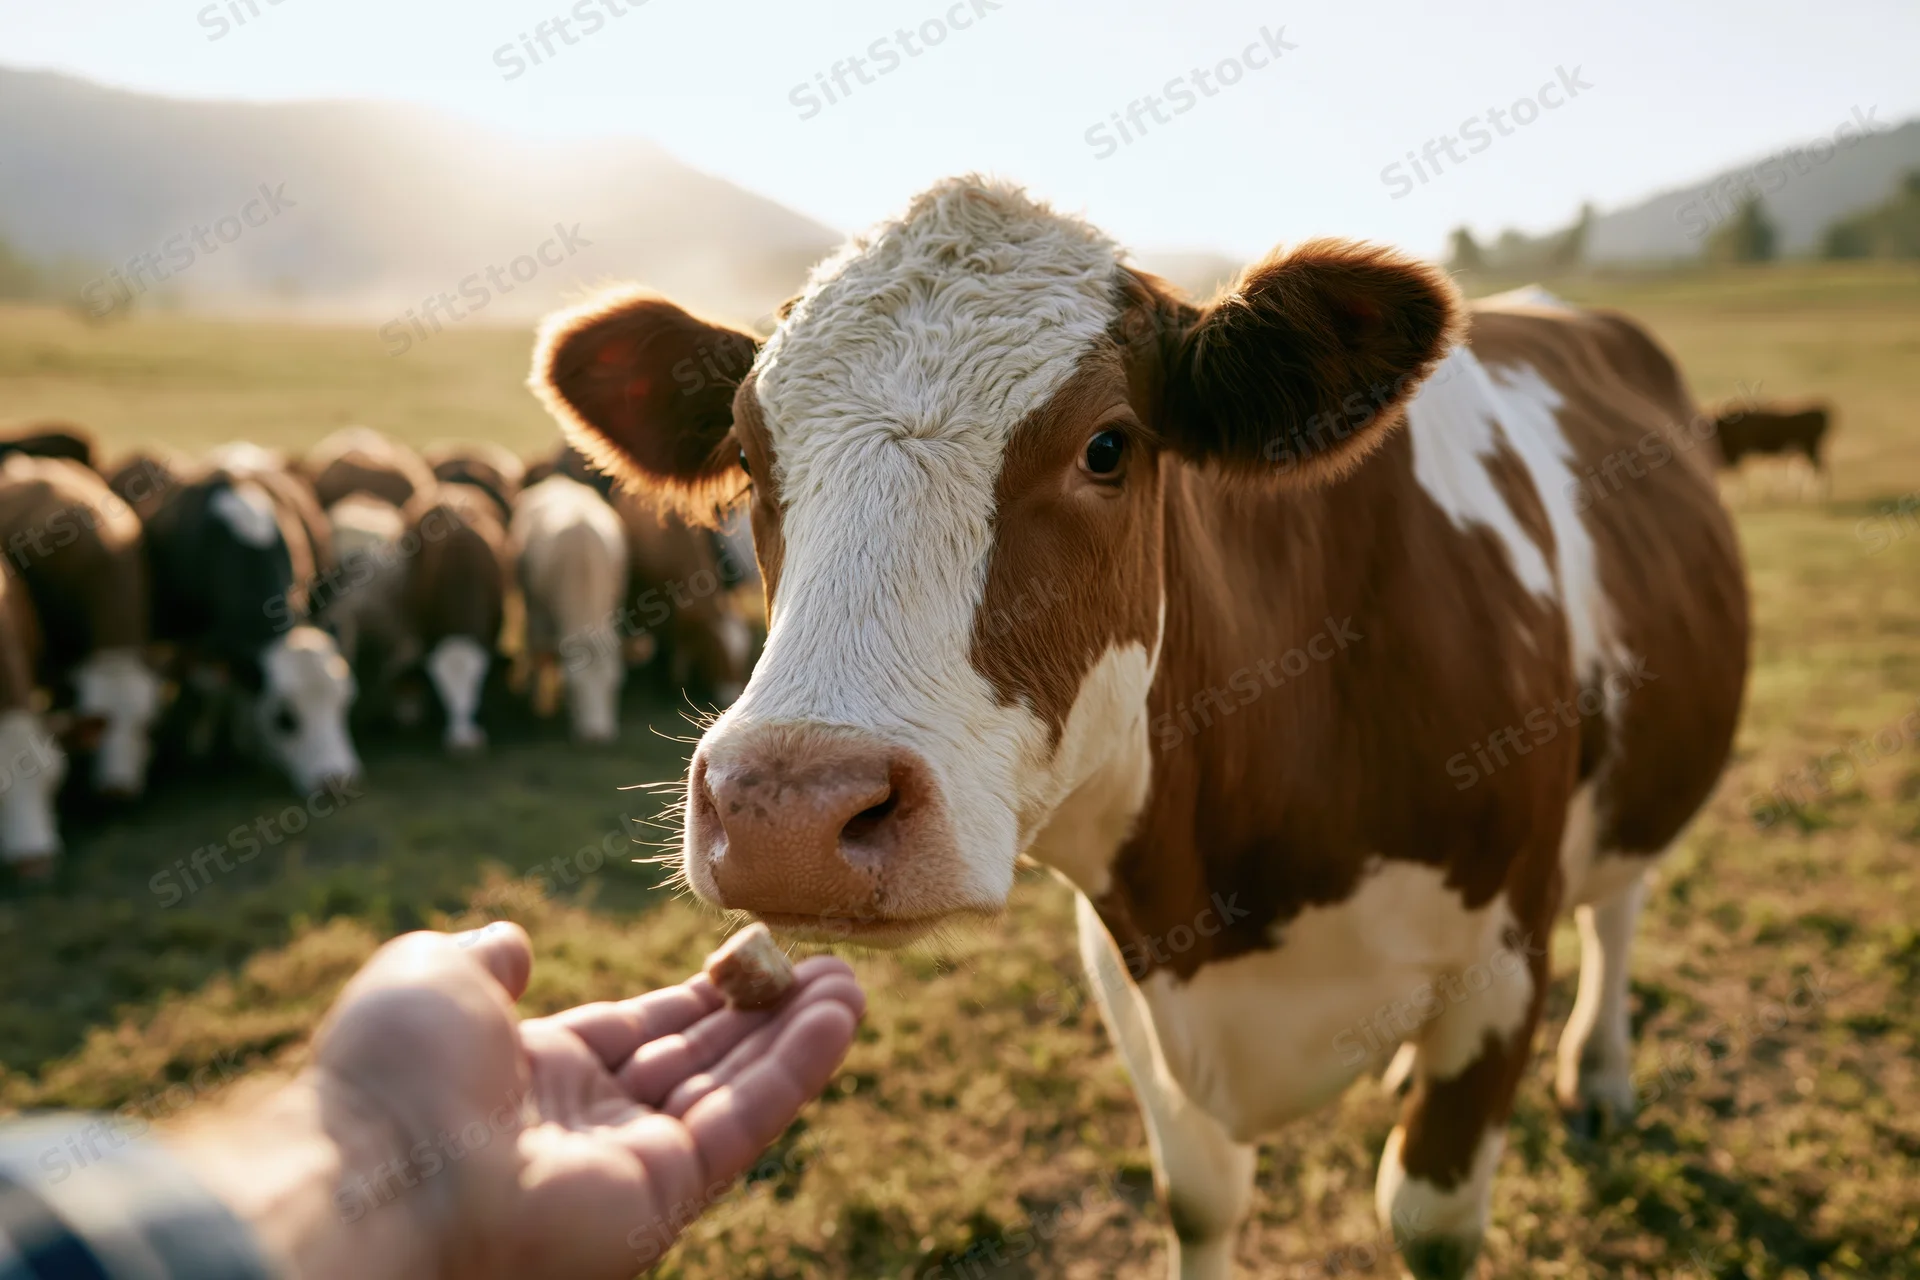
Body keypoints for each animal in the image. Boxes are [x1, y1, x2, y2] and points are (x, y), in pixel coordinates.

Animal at [526, 179, 1750, 1280]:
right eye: (749, 458)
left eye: (1107, 447)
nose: (789, 812)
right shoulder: (1131, 972)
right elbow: (1199, 1198)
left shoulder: (1502, 963)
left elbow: (1430, 1222)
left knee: (1621, 903)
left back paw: (1600, 1074)